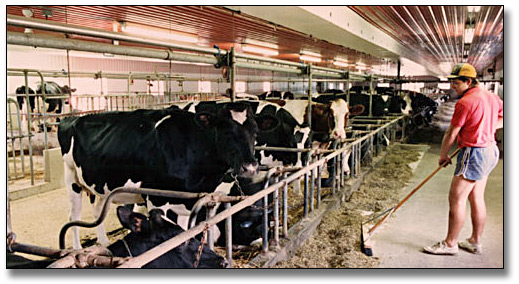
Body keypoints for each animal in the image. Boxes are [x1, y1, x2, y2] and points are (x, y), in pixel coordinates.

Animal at [58, 103, 260, 250]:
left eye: (255, 131)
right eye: (226, 131)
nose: (250, 166)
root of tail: (71, 118)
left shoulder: (187, 201)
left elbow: (184, 233)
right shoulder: (156, 198)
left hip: (99, 184)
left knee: (97, 211)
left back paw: (104, 243)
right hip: (71, 177)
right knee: (73, 215)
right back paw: (77, 249)